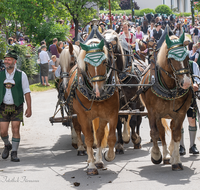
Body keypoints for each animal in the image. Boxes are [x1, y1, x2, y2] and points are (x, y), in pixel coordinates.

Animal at [66, 39, 119, 175]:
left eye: (105, 61)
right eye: (87, 63)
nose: (98, 90)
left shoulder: (111, 113)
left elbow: (110, 137)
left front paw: (108, 156)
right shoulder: (83, 116)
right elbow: (89, 139)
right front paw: (91, 166)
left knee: (99, 134)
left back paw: (98, 161)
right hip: (75, 114)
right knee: (78, 129)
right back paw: (87, 156)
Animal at [140, 32, 193, 171]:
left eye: (187, 56)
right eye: (171, 58)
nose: (186, 82)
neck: (169, 87)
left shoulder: (180, 113)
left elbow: (177, 134)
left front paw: (177, 161)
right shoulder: (152, 113)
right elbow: (155, 133)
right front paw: (156, 155)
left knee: (172, 129)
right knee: (161, 132)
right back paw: (164, 155)